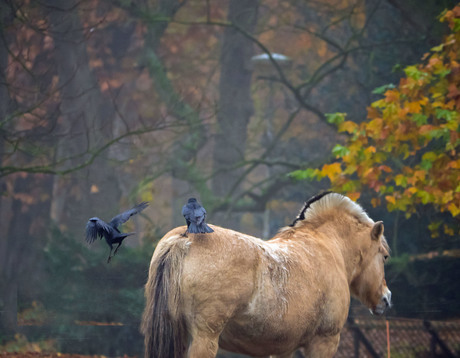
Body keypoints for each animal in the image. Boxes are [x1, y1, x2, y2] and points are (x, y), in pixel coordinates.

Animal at [141, 193, 392, 358]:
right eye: (385, 256)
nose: (386, 298)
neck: (328, 247)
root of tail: (183, 239)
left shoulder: (282, 349)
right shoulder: (324, 341)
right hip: (204, 339)